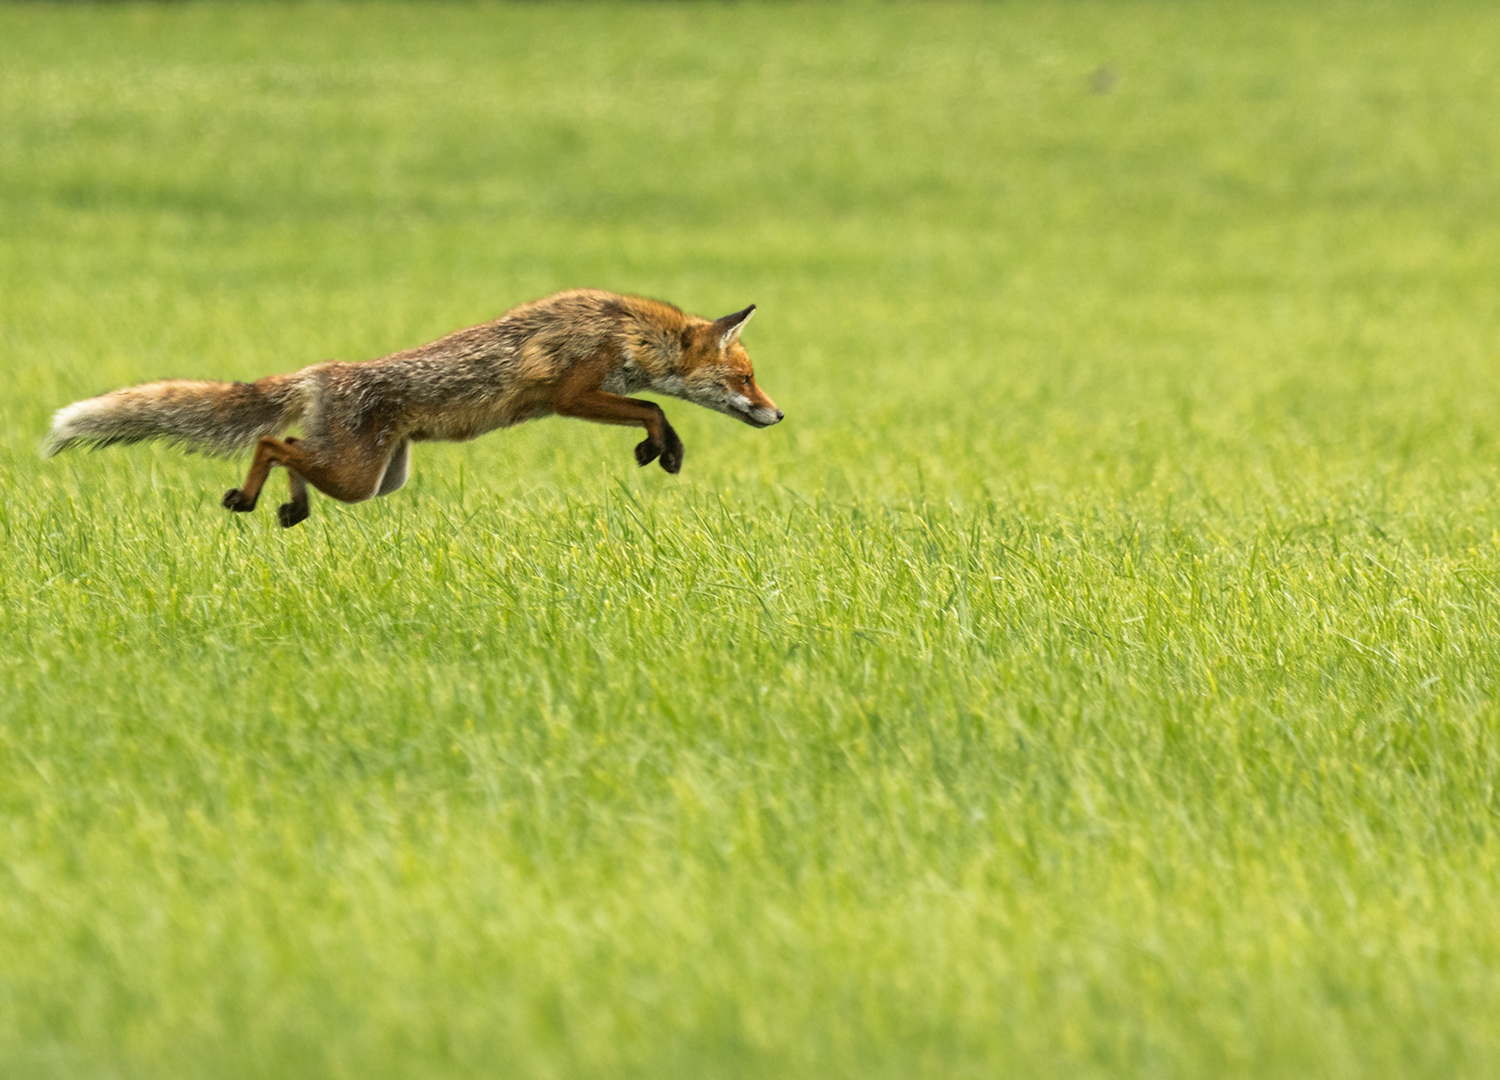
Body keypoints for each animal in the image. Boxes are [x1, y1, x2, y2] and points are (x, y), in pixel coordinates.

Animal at [41, 285, 786, 525]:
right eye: (748, 379)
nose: (779, 415)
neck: (625, 328)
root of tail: (323, 371)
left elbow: (650, 411)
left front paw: (658, 449)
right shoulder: (572, 392)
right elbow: (655, 410)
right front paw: (664, 448)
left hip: (376, 477)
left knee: (291, 449)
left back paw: (287, 508)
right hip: (359, 476)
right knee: (270, 442)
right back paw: (253, 499)